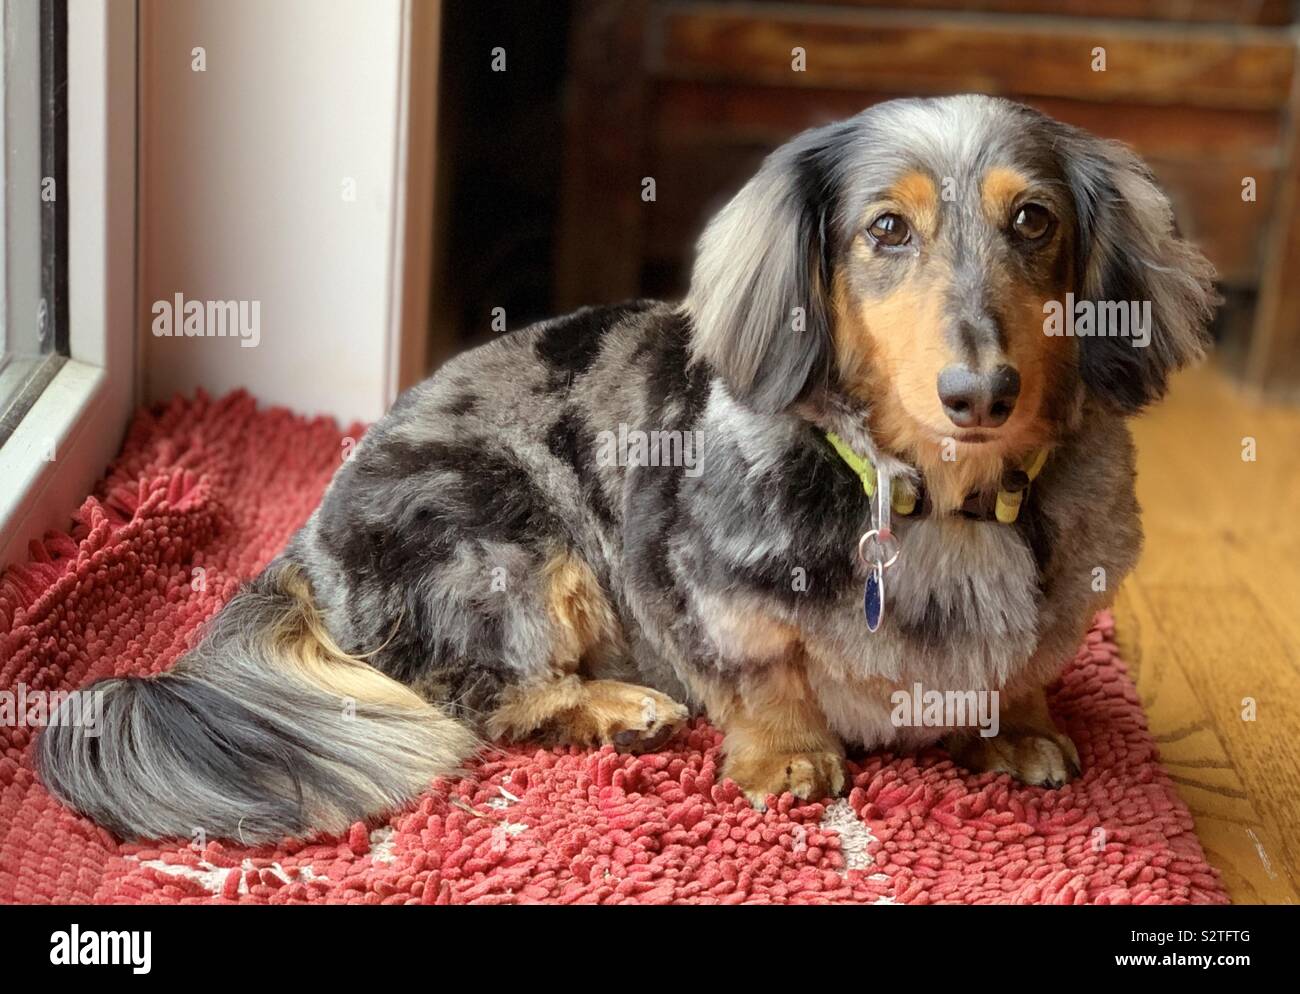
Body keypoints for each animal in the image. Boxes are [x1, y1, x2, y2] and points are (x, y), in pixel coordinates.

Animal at [40, 92, 1216, 841]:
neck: (936, 497)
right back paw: (620, 709)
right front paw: (789, 758)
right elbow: (764, 673)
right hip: (507, 538)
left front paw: (1020, 730)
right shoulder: (704, 588)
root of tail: (304, 542)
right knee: (475, 696)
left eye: (1034, 220)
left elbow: (1019, 669)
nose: (981, 392)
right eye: (887, 229)